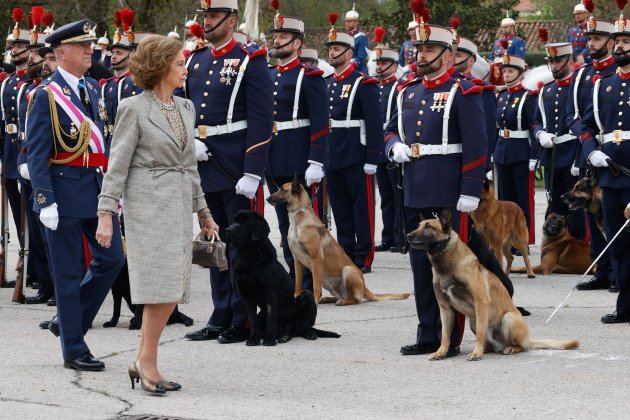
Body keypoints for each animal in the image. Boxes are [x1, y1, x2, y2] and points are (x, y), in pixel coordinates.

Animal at [227, 210, 340, 344]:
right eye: (234, 221)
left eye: (244, 223)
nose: (227, 229)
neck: (248, 256)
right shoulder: (246, 295)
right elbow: (252, 320)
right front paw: (254, 338)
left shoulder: (270, 293)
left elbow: (271, 318)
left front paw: (269, 339)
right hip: (263, 315)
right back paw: (283, 336)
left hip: (308, 295)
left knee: (303, 327)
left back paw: (307, 334)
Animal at [268, 177, 412, 306]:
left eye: (282, 189)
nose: (268, 198)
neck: (298, 219)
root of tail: (365, 287)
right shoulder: (297, 261)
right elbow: (297, 286)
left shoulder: (316, 259)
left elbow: (315, 286)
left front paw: (314, 302)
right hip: (328, 282)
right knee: (340, 295)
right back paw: (328, 299)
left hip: (348, 271)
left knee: (355, 300)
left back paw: (342, 301)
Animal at [408, 210, 580, 360]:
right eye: (418, 225)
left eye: (428, 226)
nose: (408, 235)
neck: (447, 266)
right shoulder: (445, 308)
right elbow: (445, 334)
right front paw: (441, 352)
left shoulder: (481, 303)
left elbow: (480, 333)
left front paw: (476, 353)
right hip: (473, 321)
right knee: (490, 342)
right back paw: (488, 348)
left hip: (508, 318)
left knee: (520, 346)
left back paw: (509, 348)